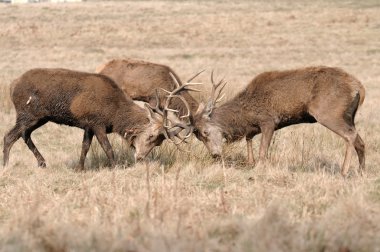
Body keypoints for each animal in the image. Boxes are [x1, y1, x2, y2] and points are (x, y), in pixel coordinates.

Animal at [2, 68, 193, 169]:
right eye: (151, 136)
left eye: (159, 142)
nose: (140, 157)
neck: (115, 115)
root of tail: (11, 86)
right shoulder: (97, 123)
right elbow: (107, 148)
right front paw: (115, 167)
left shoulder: (88, 126)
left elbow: (85, 147)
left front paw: (80, 169)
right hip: (27, 114)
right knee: (9, 136)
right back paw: (6, 165)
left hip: (40, 117)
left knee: (24, 134)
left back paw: (42, 162)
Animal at [193, 67, 366, 177]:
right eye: (199, 137)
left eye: (205, 132)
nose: (215, 154)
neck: (246, 114)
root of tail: (359, 88)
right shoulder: (253, 128)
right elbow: (249, 140)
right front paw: (250, 163)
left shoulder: (268, 121)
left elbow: (263, 151)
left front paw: (258, 169)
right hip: (349, 116)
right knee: (360, 141)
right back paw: (361, 171)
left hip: (328, 112)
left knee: (350, 136)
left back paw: (344, 171)